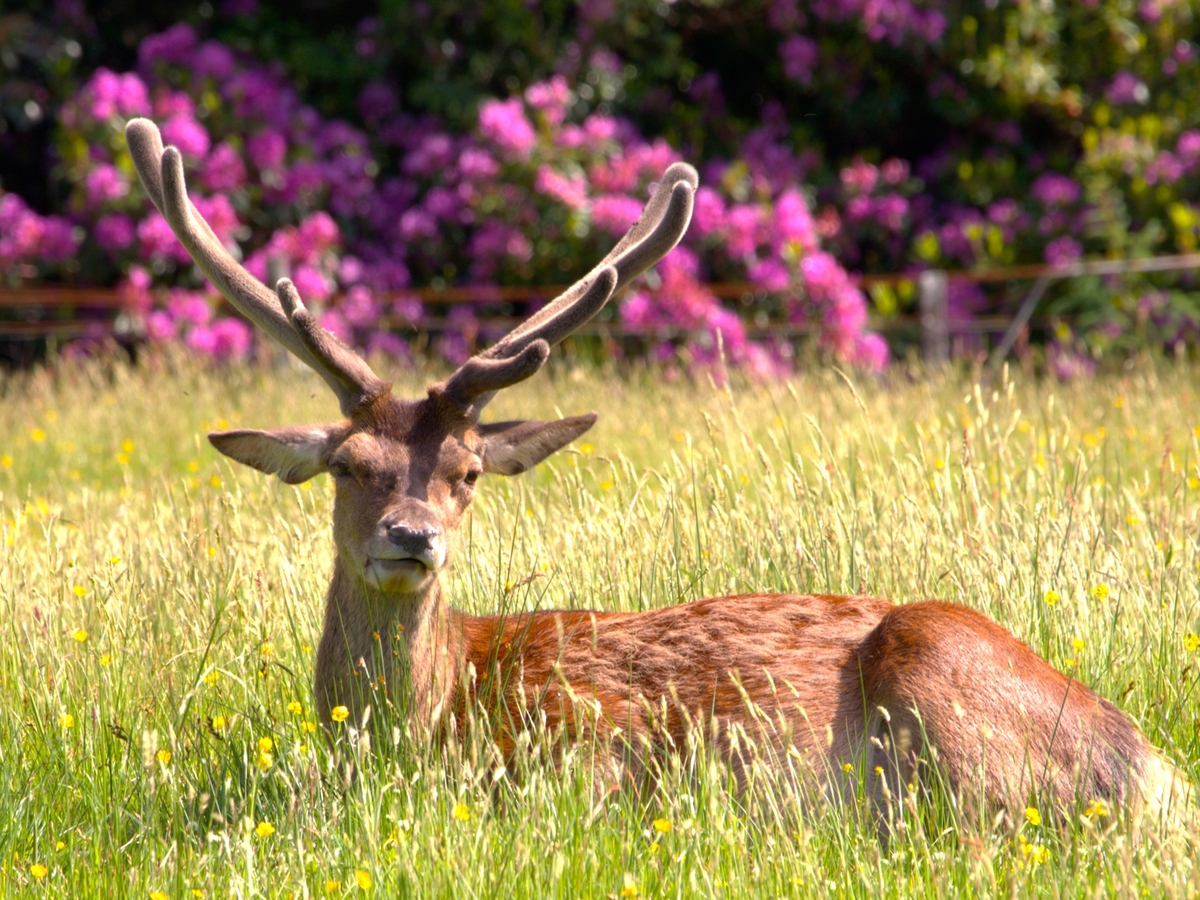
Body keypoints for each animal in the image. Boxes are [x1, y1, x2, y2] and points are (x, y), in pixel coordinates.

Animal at [125, 117, 1190, 831]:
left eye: (468, 471)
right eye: (349, 465)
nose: (411, 536)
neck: (430, 724)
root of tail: (1152, 767)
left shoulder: (592, 752)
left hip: (945, 692)